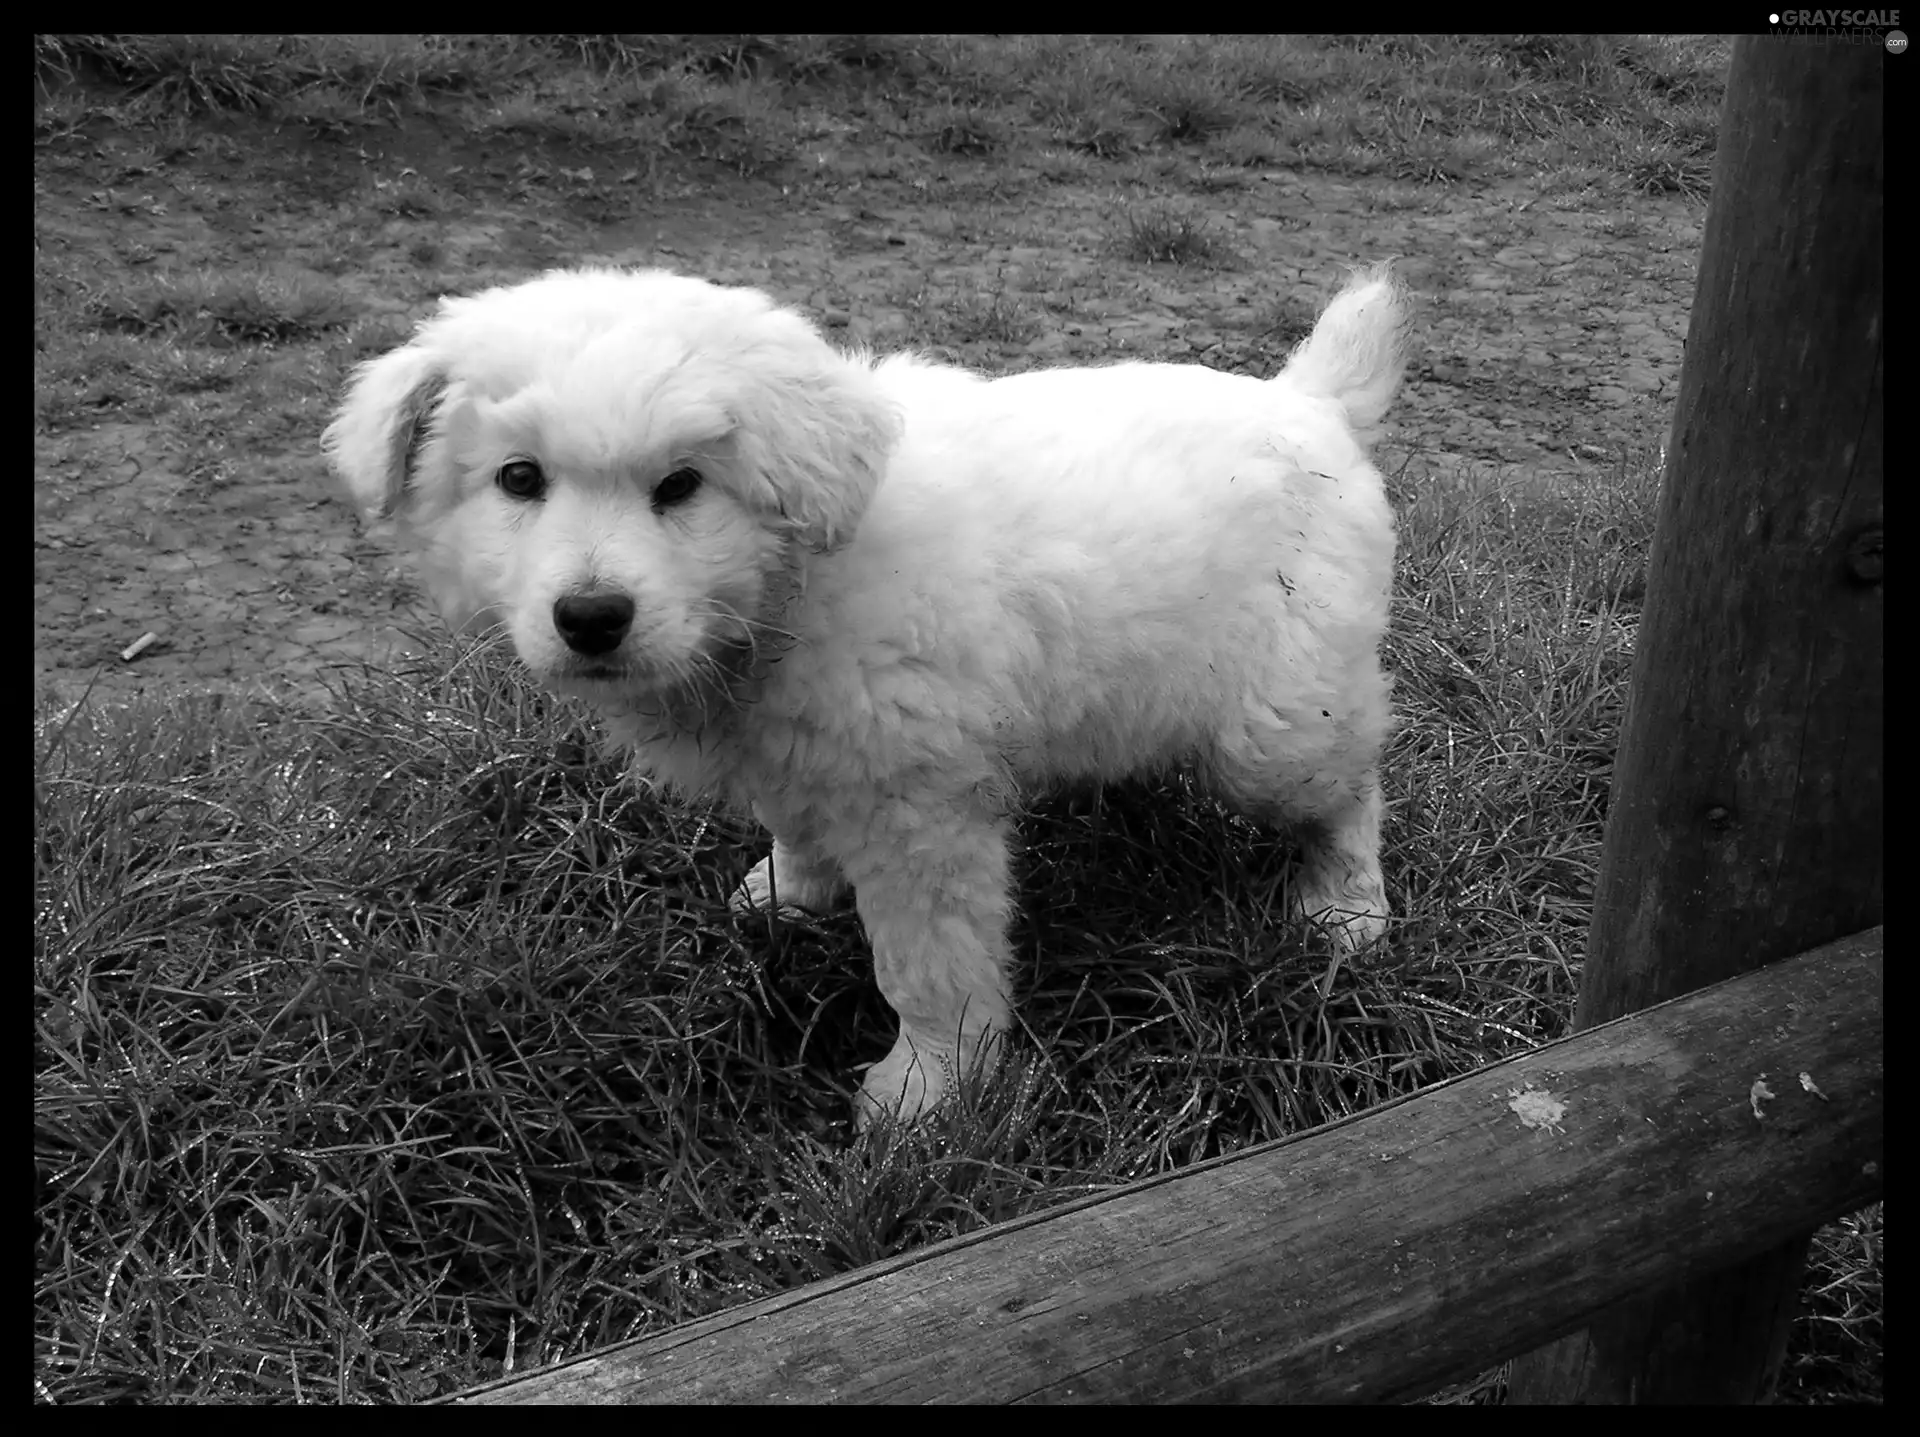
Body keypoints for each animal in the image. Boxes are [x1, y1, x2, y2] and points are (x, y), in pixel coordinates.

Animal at [326, 263, 1413, 1129]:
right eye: (519, 479)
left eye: (681, 486)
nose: (592, 617)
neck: (789, 588)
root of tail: (1309, 402)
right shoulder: (795, 756)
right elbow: (797, 827)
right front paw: (790, 892)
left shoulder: (920, 812)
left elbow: (928, 966)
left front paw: (929, 1091)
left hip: (1278, 726)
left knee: (1352, 786)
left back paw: (1344, 910)